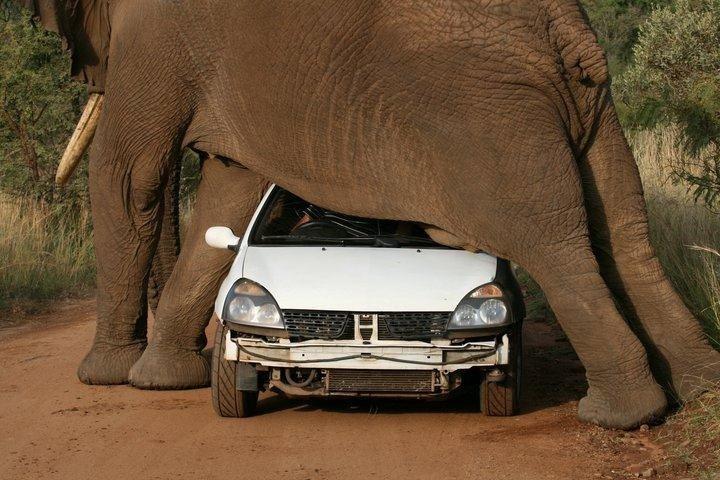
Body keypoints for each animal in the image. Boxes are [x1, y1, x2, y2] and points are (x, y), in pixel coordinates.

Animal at [22, 0, 720, 429]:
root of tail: (563, 24)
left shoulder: (156, 31)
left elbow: (126, 174)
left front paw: (109, 377)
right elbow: (230, 190)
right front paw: (163, 380)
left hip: (489, 112)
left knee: (555, 241)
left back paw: (620, 415)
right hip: (587, 103)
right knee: (621, 228)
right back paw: (696, 388)